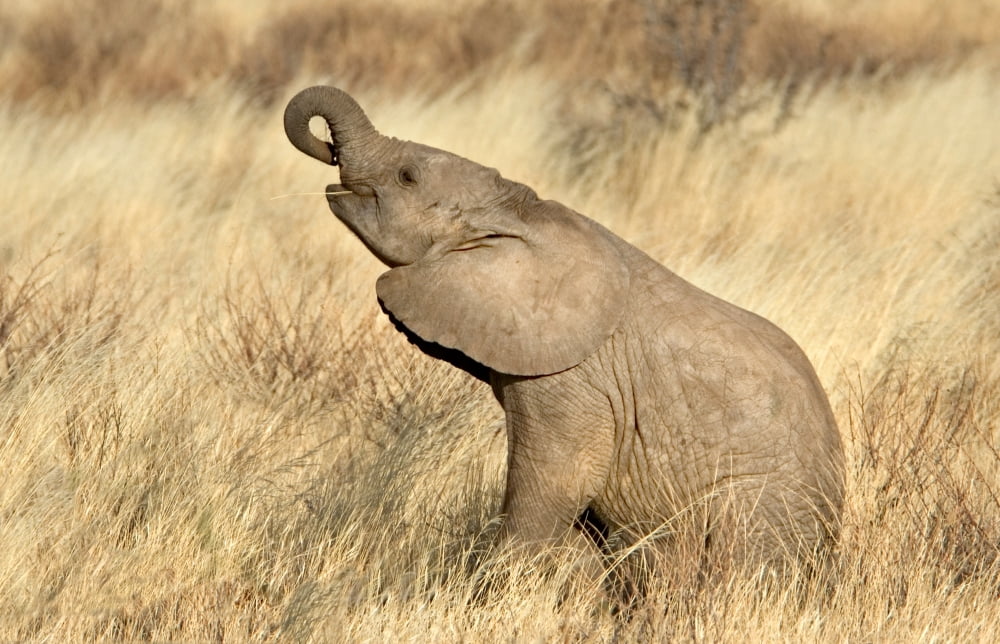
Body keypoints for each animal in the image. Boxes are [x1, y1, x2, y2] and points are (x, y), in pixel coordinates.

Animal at [283, 85, 845, 582]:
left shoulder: (574, 382)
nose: (325, 149)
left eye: (407, 177)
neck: (519, 211)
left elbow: (555, 487)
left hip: (765, 502)